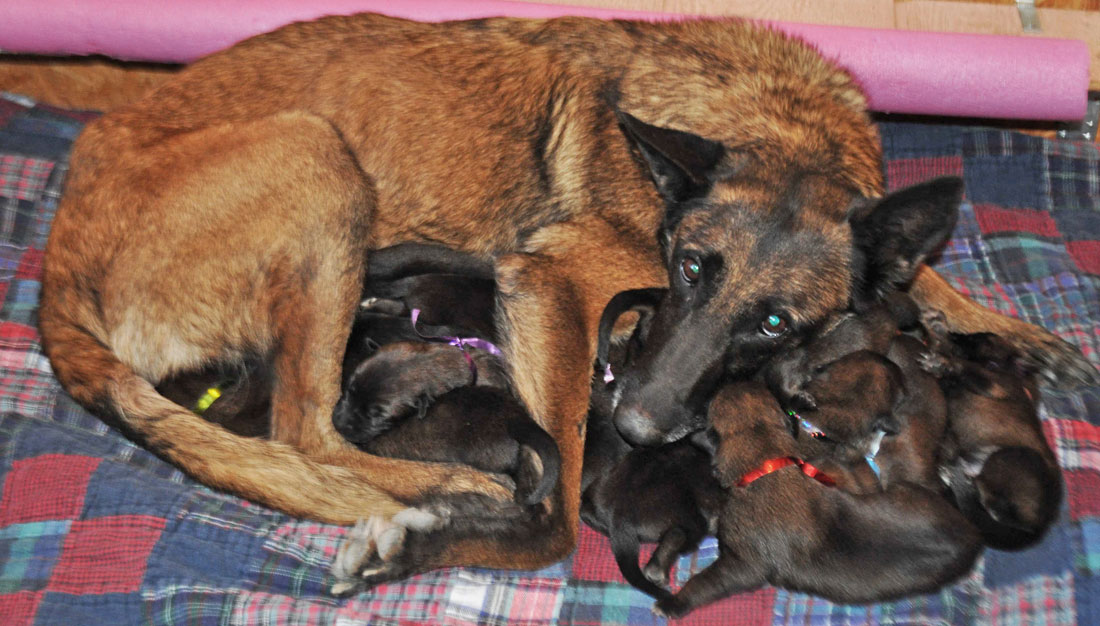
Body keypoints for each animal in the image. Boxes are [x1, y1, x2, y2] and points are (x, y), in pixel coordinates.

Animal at [646, 380, 985, 616]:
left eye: (715, 403)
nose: (736, 381)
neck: (766, 463)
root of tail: (973, 532)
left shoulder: (742, 565)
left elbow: (707, 581)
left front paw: (673, 603)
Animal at [919, 312, 1064, 545]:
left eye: (979, 337)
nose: (955, 334)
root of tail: (1039, 527)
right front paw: (936, 329)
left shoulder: (994, 383)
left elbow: (967, 366)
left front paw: (943, 357)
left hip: (1010, 458)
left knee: (994, 506)